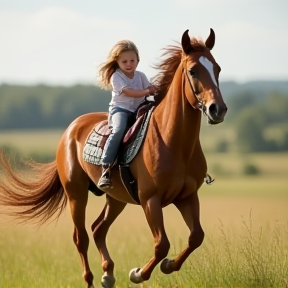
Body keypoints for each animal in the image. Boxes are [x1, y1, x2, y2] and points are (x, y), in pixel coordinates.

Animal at [0, 27, 227, 288]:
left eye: (217, 68)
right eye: (193, 71)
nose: (217, 109)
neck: (175, 143)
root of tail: (70, 129)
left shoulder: (187, 196)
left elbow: (196, 236)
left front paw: (169, 266)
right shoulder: (150, 200)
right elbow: (162, 245)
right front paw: (137, 273)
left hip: (116, 198)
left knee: (98, 228)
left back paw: (108, 274)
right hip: (76, 194)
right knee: (81, 237)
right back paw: (91, 279)